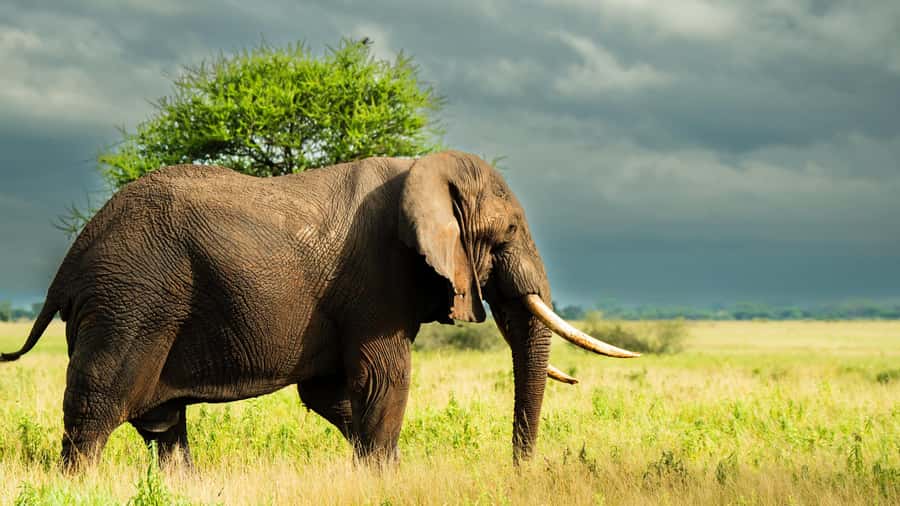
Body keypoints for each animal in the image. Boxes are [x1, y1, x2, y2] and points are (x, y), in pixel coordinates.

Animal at [1, 150, 637, 469]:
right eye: (507, 233)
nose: (520, 472)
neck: (427, 168)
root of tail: (71, 258)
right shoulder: (378, 278)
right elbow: (384, 376)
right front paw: (384, 479)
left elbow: (332, 394)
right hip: (131, 301)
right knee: (97, 410)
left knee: (161, 424)